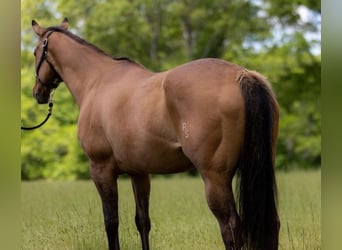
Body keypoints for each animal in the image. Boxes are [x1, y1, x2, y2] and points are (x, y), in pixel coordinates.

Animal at [30, 18, 280, 250]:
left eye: (34, 53)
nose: (38, 93)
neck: (97, 81)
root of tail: (242, 75)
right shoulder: (139, 172)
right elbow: (142, 221)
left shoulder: (101, 169)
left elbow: (111, 222)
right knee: (271, 224)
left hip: (215, 177)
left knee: (231, 228)